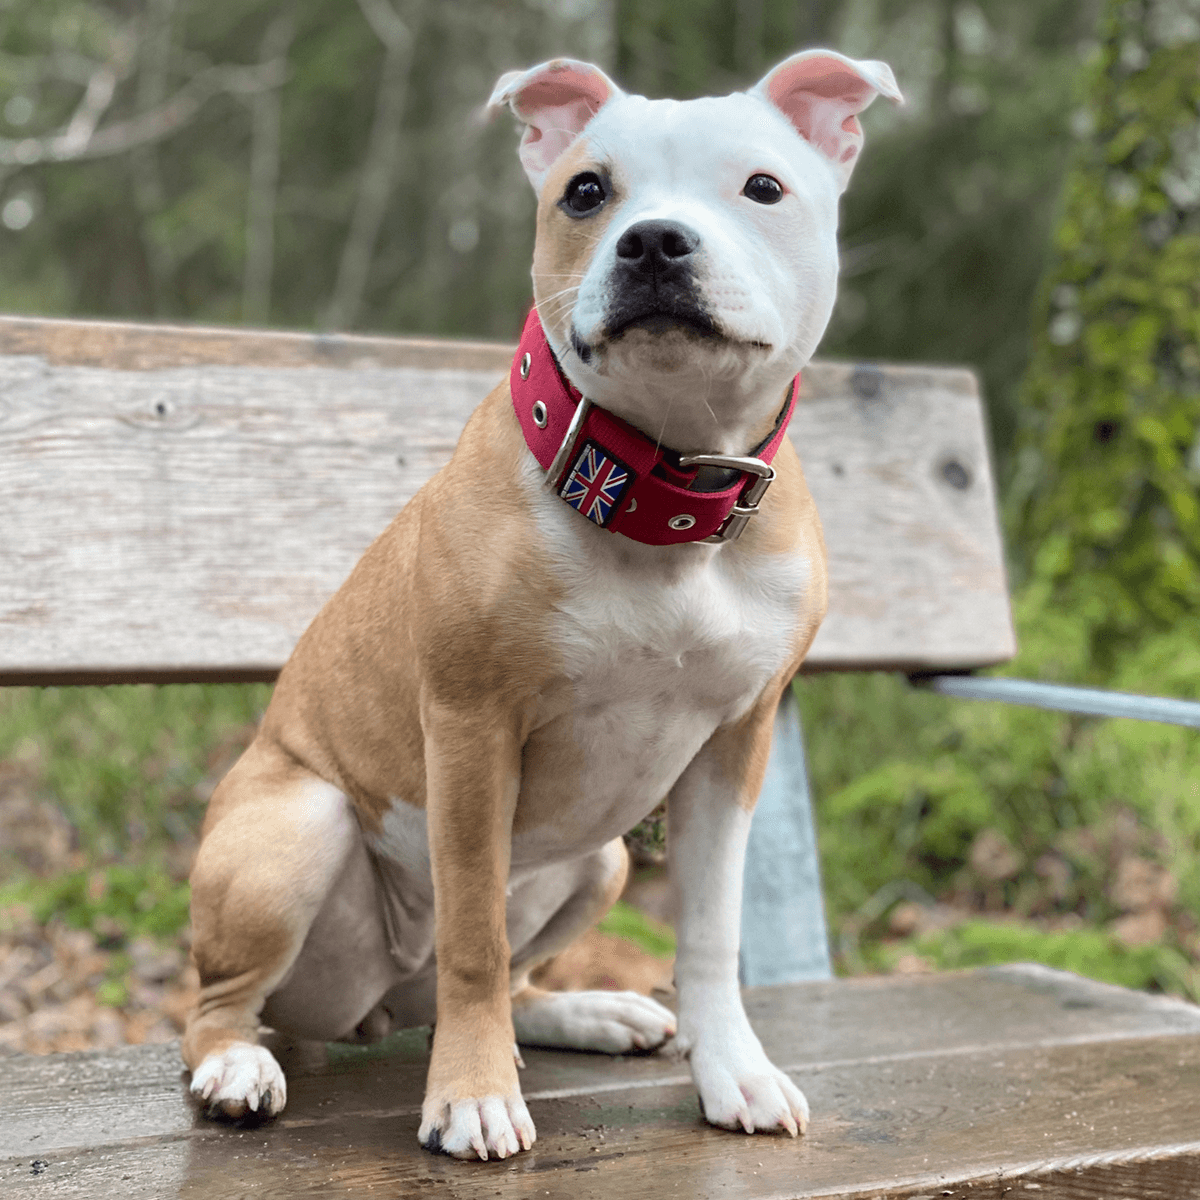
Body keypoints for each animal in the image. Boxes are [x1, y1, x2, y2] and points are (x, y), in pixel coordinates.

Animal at [182, 49, 902, 1161]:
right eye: (587, 192)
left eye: (764, 187)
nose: (653, 240)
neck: (660, 494)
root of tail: (385, 1000)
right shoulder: (473, 730)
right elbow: (475, 932)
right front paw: (473, 1097)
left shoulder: (734, 746)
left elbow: (711, 930)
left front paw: (732, 1071)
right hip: (296, 829)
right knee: (231, 1002)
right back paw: (237, 1067)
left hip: (601, 860)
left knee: (513, 978)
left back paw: (586, 1012)